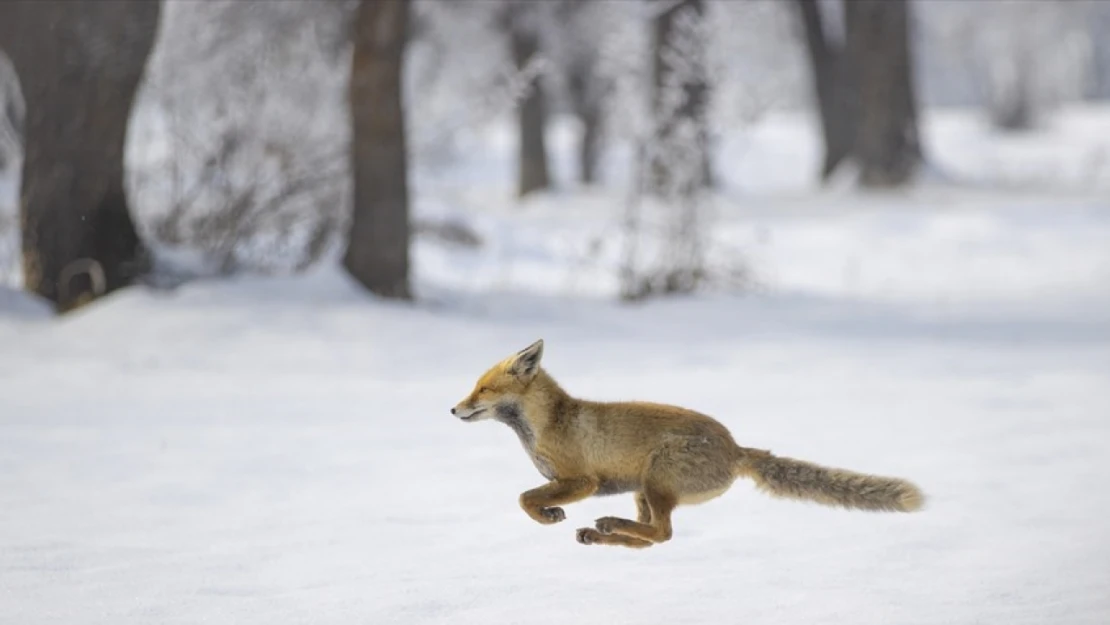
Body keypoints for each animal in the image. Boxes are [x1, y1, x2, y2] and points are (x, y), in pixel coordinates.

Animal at [446, 339, 923, 550]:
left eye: (483, 390)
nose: (453, 409)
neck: (544, 426)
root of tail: (736, 448)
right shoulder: (578, 482)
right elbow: (526, 496)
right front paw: (552, 517)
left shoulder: (582, 481)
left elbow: (525, 498)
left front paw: (548, 516)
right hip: (642, 489)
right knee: (653, 539)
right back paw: (603, 533)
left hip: (655, 481)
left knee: (662, 533)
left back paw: (606, 526)